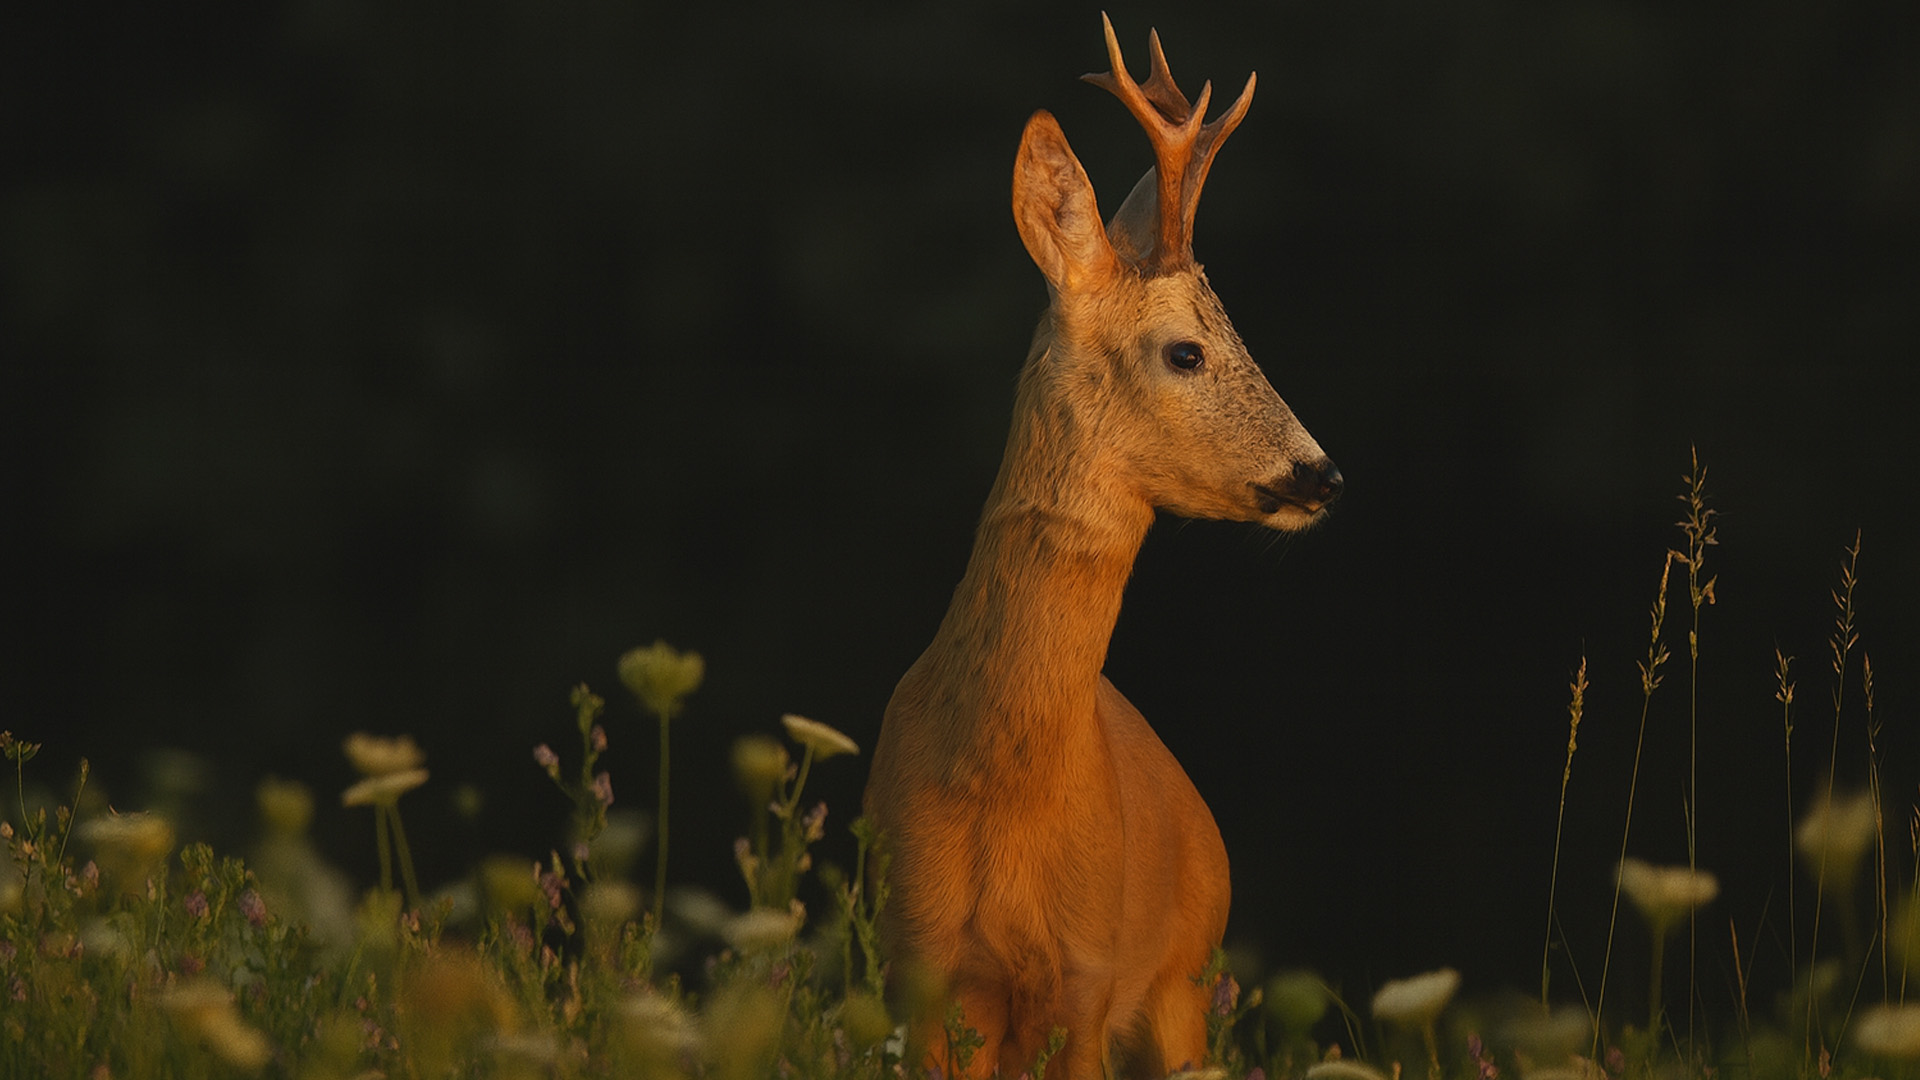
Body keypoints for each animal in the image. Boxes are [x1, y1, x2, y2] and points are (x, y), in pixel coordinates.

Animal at [864, 16, 1342, 1080]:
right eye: (1186, 350)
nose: (1322, 473)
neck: (1003, 790)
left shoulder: (1085, 976)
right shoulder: (918, 968)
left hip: (1182, 984)